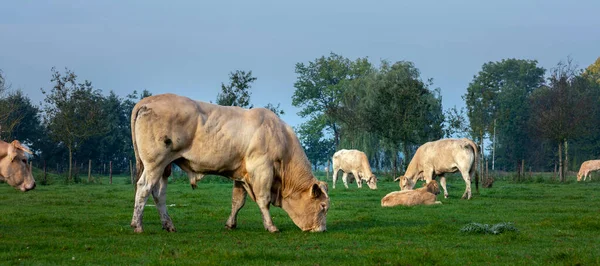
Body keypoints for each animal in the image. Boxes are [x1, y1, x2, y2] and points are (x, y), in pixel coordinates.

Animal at [130, 93, 332, 233]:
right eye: (323, 206)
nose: (322, 230)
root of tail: (148, 100)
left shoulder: (241, 173)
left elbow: (238, 201)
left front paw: (230, 224)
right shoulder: (262, 170)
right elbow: (263, 200)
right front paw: (271, 226)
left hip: (165, 167)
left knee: (159, 194)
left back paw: (168, 225)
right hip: (155, 163)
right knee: (144, 188)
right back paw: (137, 225)